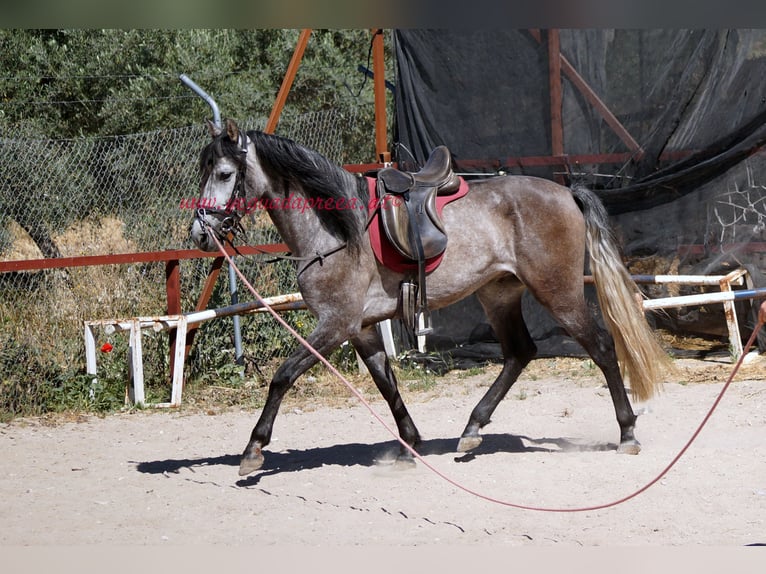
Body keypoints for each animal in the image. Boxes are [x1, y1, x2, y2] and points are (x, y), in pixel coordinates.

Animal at [189, 120, 668, 476]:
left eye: (225, 174)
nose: (200, 233)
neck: (337, 230)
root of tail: (566, 192)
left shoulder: (335, 324)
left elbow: (282, 376)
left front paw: (253, 449)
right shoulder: (360, 329)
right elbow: (386, 384)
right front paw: (410, 443)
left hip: (558, 292)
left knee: (601, 347)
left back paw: (627, 433)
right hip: (498, 294)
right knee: (520, 352)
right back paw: (472, 428)